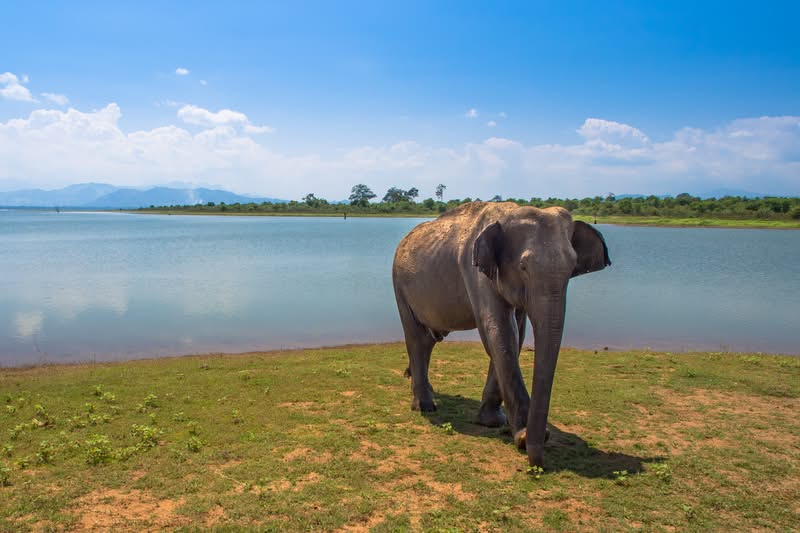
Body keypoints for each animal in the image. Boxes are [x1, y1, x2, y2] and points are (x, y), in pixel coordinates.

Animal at [390, 201, 608, 466]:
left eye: (571, 268)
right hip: (399, 285)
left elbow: (516, 334)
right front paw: (520, 434)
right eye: (523, 267)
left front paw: (494, 422)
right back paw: (425, 407)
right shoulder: (474, 271)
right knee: (417, 337)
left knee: (429, 339)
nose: (536, 458)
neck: (508, 212)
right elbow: (499, 331)